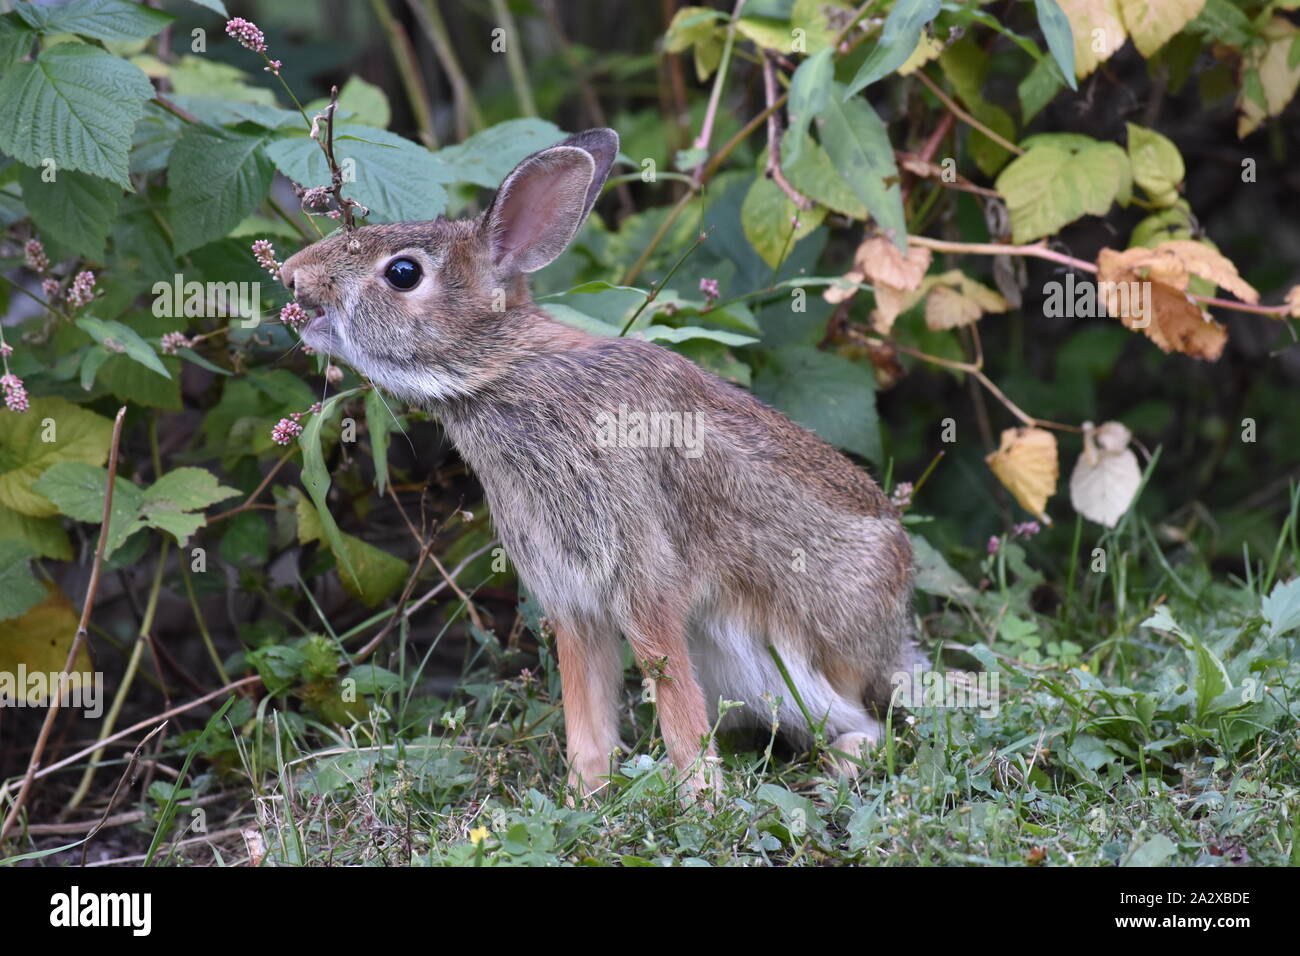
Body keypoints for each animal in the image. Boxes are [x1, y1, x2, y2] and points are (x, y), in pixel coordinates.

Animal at [280, 128, 915, 798]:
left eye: (403, 273)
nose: (292, 277)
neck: (501, 372)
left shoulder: (642, 576)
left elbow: (671, 689)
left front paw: (700, 796)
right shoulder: (570, 597)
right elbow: (584, 698)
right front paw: (587, 790)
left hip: (779, 657)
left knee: (870, 725)